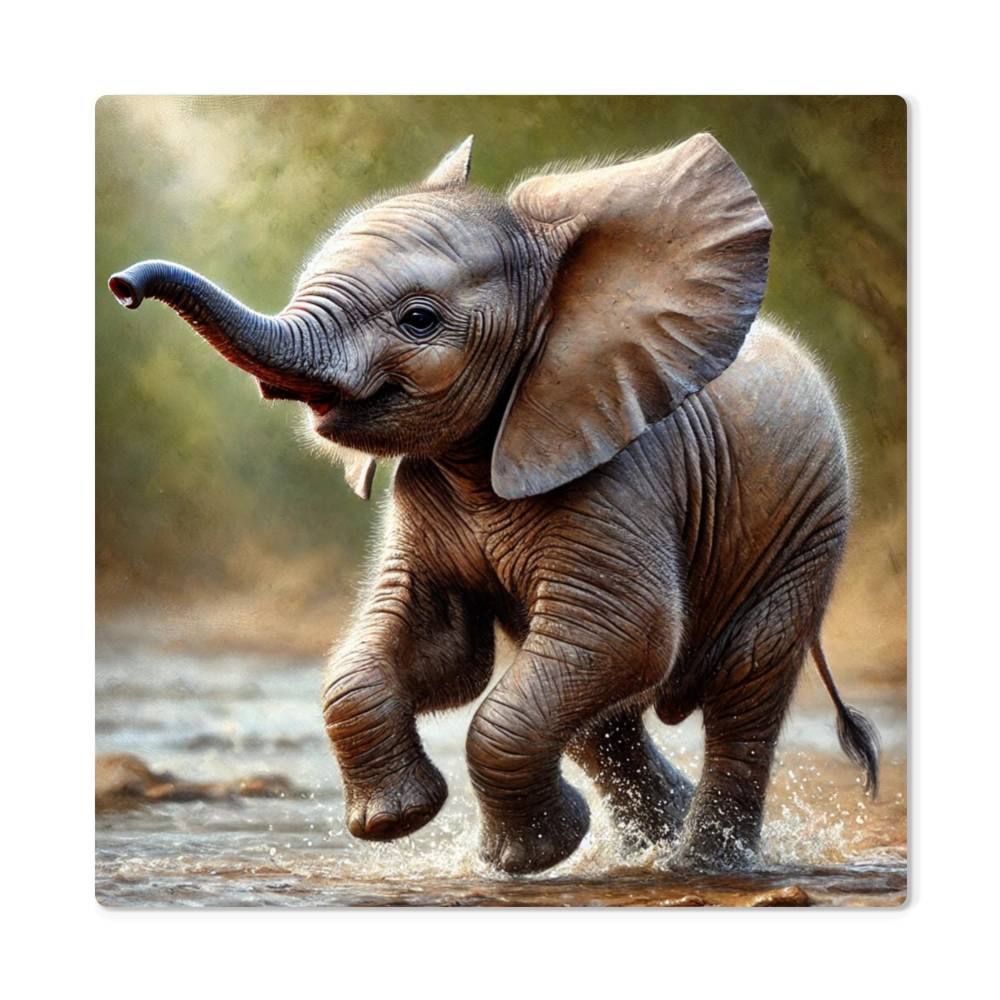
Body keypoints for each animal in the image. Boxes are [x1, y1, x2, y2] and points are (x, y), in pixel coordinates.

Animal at [108, 132, 879, 874]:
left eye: (418, 320)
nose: (121, 286)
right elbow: (436, 653)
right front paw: (397, 823)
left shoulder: (623, 472)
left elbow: (629, 630)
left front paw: (525, 858)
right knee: (599, 710)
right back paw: (647, 848)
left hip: (808, 525)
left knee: (741, 686)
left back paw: (701, 863)